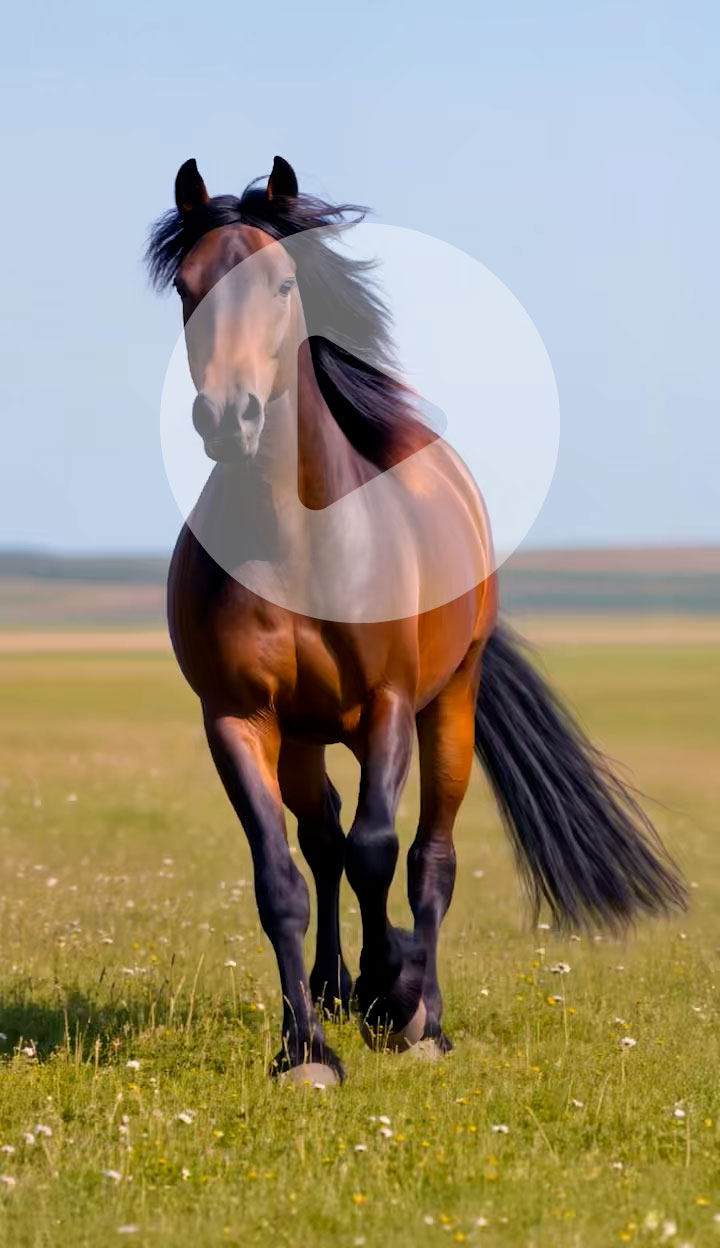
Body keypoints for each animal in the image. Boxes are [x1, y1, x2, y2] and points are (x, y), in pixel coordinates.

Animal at [146, 155, 686, 1085]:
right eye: (187, 287)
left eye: (283, 283)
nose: (228, 417)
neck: (297, 539)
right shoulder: (237, 718)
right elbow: (281, 877)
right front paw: (305, 1048)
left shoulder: (391, 704)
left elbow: (380, 850)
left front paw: (395, 999)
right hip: (304, 736)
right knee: (322, 839)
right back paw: (332, 990)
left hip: (448, 708)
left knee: (428, 855)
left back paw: (417, 1007)